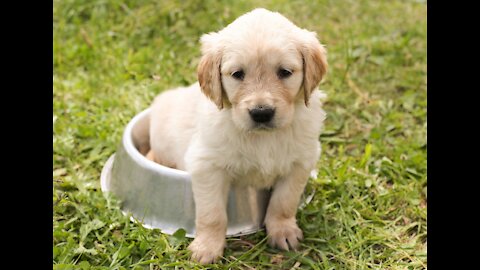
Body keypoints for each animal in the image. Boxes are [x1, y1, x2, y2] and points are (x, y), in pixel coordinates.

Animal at [146, 7, 326, 264]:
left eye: (285, 72)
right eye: (238, 74)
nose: (261, 113)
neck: (263, 138)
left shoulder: (300, 162)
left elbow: (284, 202)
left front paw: (283, 231)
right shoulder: (206, 165)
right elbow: (212, 214)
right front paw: (207, 248)